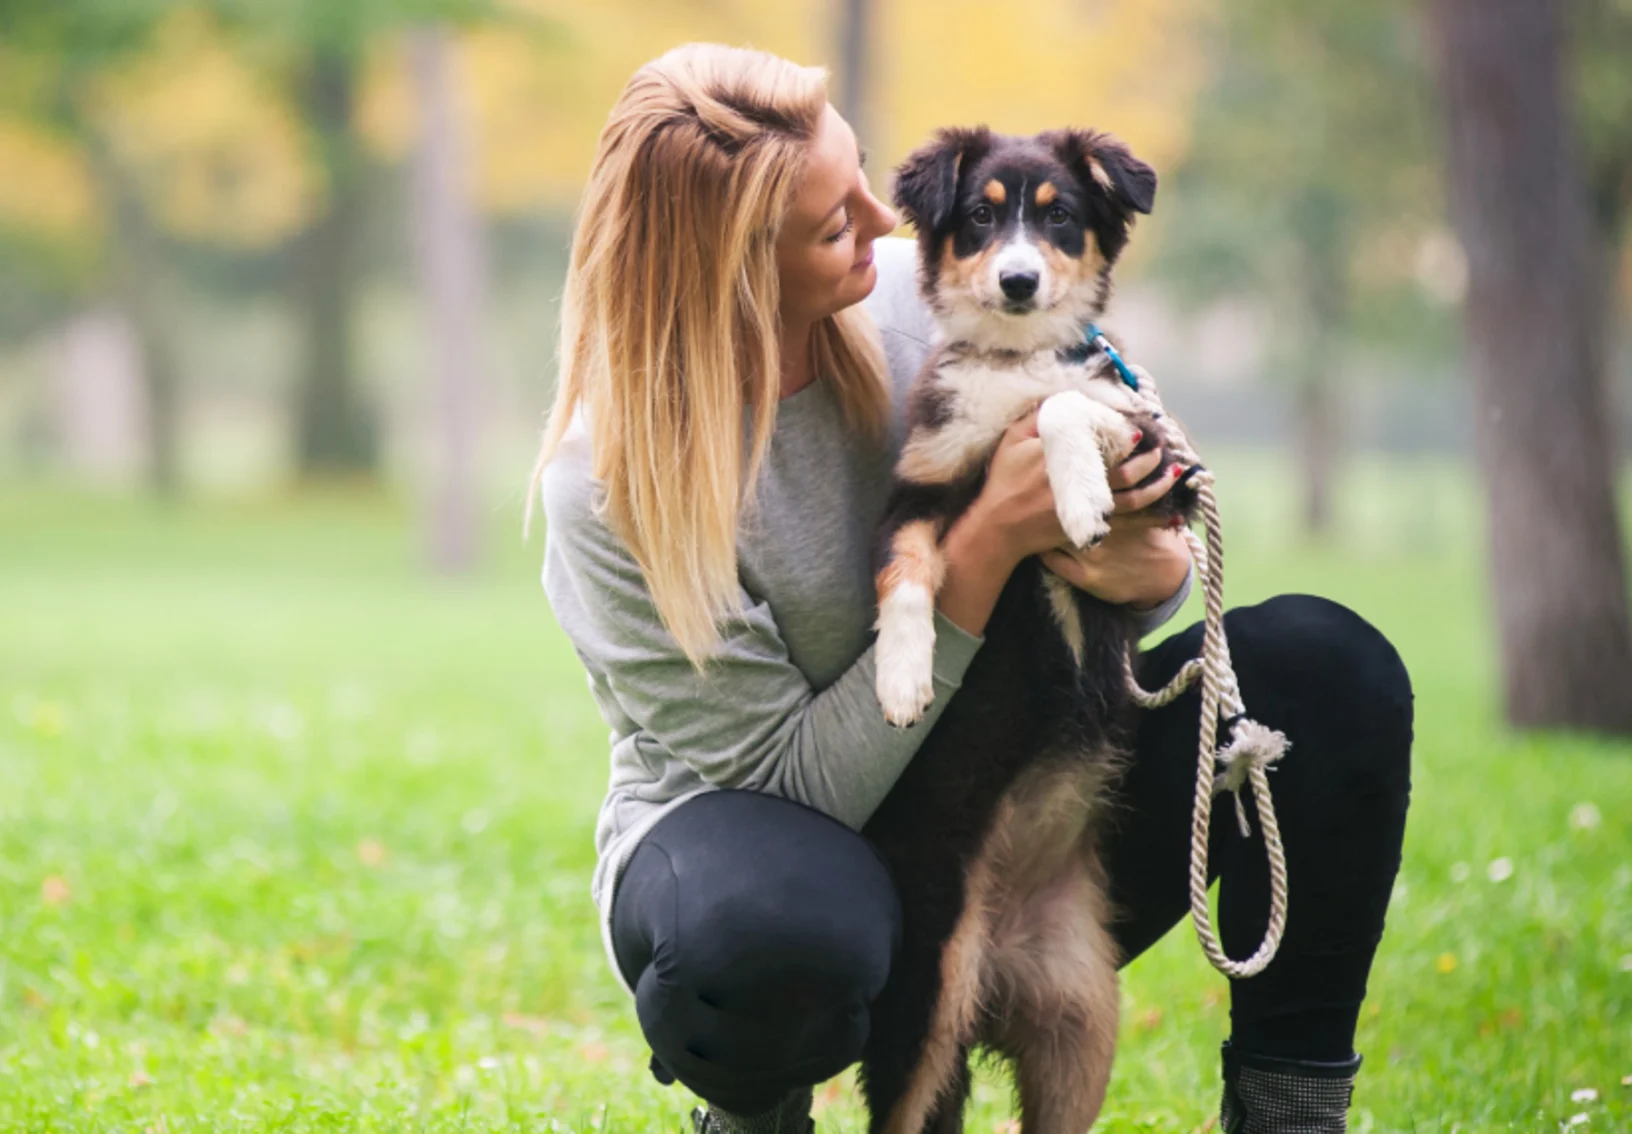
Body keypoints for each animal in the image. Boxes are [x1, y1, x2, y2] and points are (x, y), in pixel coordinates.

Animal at [855, 128, 1201, 1134]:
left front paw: (1078, 496)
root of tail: (994, 971)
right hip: (923, 998)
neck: (1012, 360)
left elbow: (1067, 402)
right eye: (979, 215)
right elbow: (903, 576)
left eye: (1060, 217)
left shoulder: (1165, 468)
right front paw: (902, 680)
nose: (1017, 280)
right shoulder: (918, 490)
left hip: (1082, 1030)